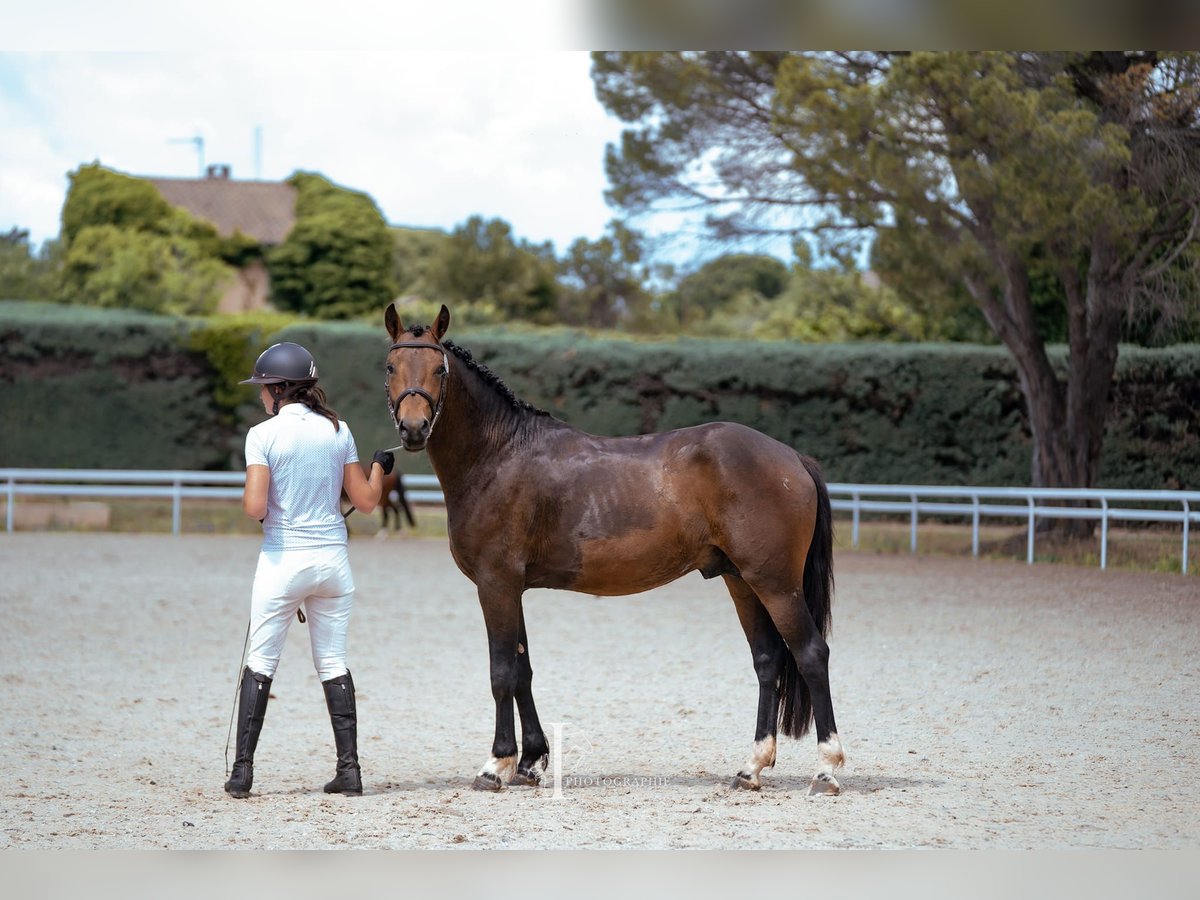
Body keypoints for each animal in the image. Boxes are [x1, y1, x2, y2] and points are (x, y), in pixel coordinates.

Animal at [384, 304, 844, 796]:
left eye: (439, 370)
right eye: (391, 366)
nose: (413, 429)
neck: (499, 455)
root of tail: (792, 458)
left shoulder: (496, 585)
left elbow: (501, 672)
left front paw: (496, 765)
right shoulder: (513, 588)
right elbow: (523, 671)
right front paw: (530, 762)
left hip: (775, 583)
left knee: (811, 654)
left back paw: (827, 769)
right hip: (742, 581)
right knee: (767, 661)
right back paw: (750, 768)